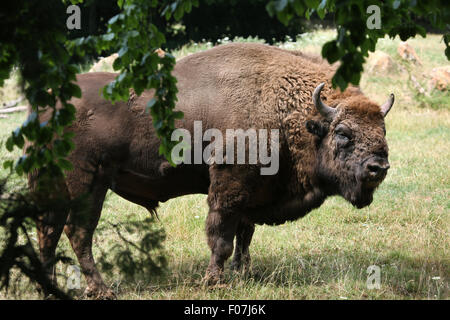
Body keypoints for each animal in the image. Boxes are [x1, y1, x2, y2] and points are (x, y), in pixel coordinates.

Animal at [30, 42, 394, 298]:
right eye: (343, 133)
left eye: (383, 130)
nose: (379, 167)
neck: (286, 109)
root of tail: (47, 107)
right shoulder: (229, 184)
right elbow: (221, 236)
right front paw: (215, 281)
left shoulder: (253, 191)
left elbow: (245, 235)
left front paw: (244, 273)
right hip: (88, 183)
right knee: (77, 232)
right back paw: (101, 290)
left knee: (48, 230)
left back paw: (46, 287)